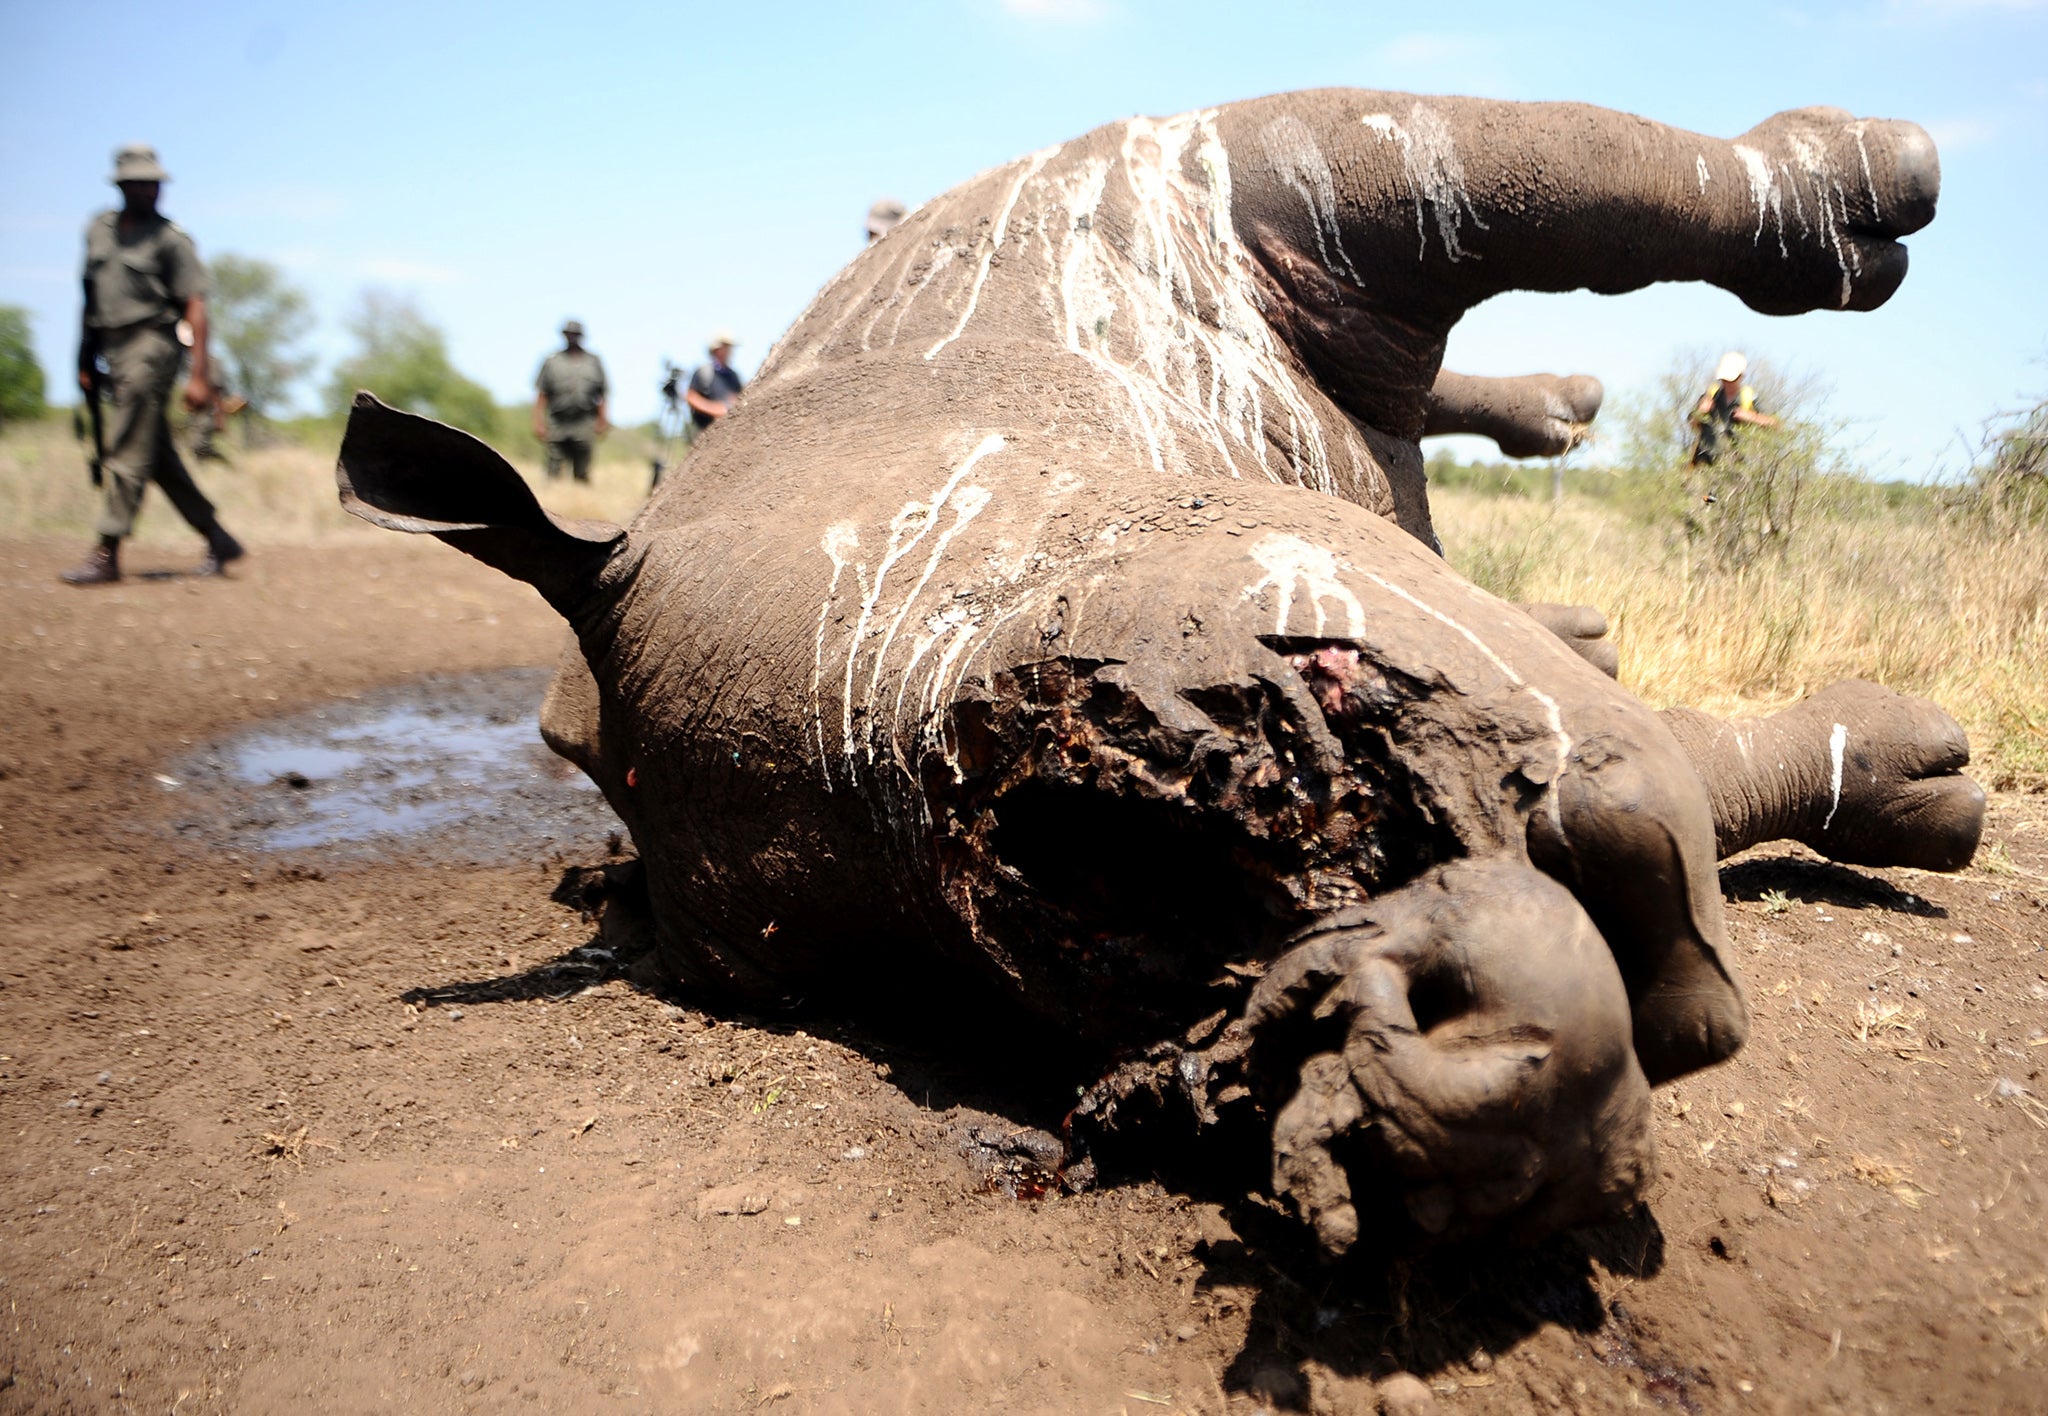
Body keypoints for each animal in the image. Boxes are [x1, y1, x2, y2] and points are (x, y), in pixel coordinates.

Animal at [335, 88, 1982, 1254]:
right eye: (942, 968)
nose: (1439, 1001)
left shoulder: (1241, 179)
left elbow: (1570, 173)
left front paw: (1866, 187)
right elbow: (1670, 780)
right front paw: (1901, 779)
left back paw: (1591, 396)